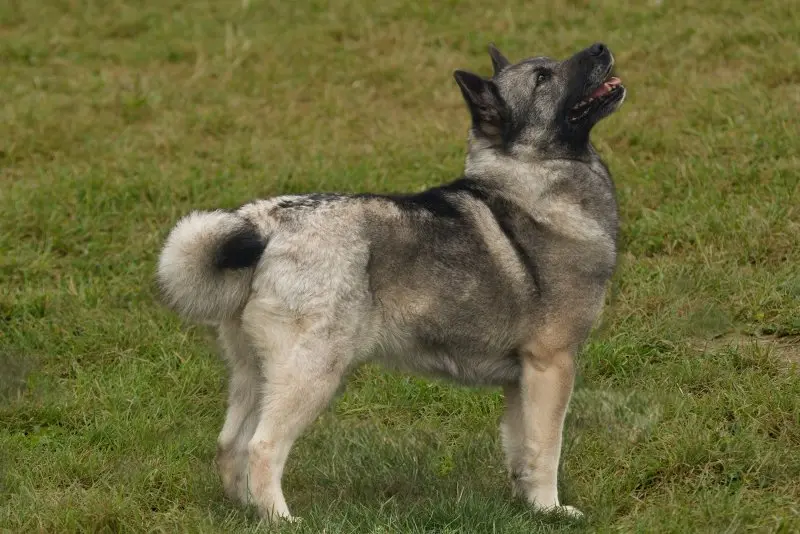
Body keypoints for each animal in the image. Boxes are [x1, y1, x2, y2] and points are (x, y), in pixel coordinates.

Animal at [158, 42, 624, 524]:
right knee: (262, 446)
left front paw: (529, 507)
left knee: (230, 444)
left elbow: (522, 450)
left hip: (256, 374)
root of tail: (266, 223)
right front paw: (552, 509)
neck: (532, 179)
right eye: (543, 78)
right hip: (310, 373)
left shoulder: (522, 379)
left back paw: (248, 511)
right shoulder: (551, 365)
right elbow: (547, 448)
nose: (600, 47)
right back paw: (281, 520)